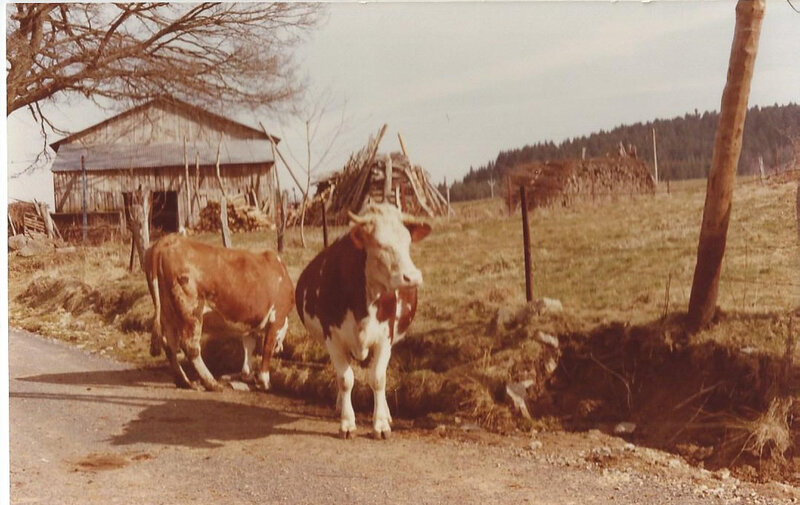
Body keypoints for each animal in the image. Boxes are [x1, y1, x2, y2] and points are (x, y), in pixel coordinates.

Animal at [144, 232, 294, 390]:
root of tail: (169, 239)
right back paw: (211, 383)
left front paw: (247, 375)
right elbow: (267, 348)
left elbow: (248, 346)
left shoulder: (249, 323)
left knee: (170, 345)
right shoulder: (277, 318)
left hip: (168, 312)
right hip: (191, 311)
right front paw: (264, 382)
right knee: (190, 346)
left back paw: (184, 382)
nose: (281, 349)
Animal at [296, 201, 432, 438]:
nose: (413, 277)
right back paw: (340, 406)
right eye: (379, 243)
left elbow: (378, 378)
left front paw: (381, 424)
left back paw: (386, 413)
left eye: (407, 241)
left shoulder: (384, 337)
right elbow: (345, 379)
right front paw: (347, 422)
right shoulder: (333, 338)